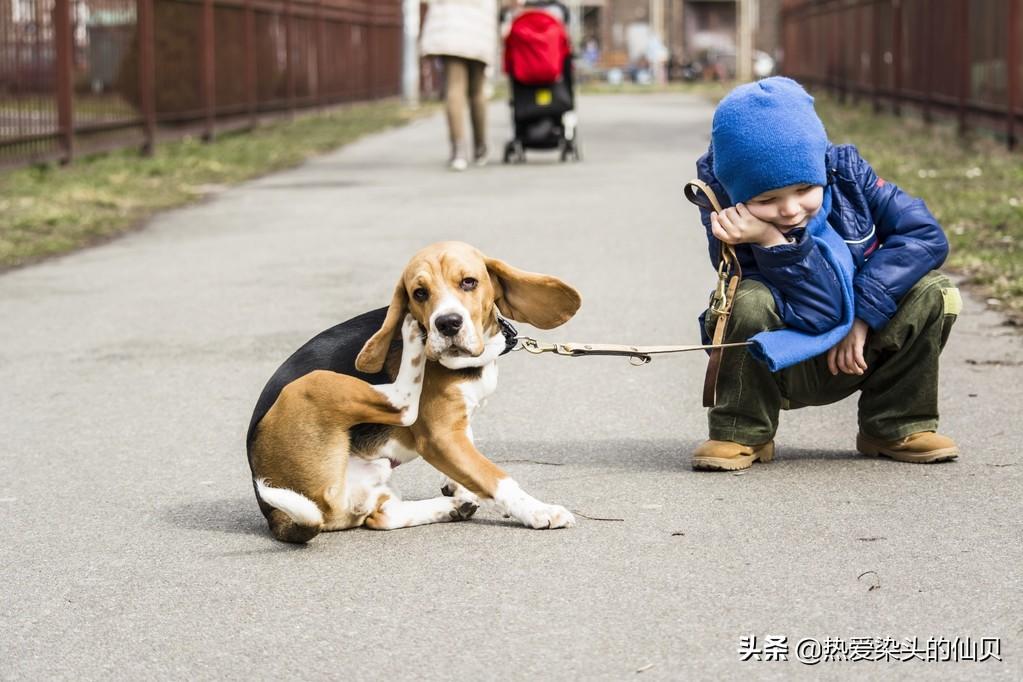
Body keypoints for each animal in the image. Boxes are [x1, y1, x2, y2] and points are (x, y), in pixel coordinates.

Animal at [246, 241, 581, 543]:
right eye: (419, 293)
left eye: (469, 282)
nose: (447, 324)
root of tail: (275, 515)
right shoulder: (440, 437)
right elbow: (496, 477)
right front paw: (538, 511)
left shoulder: (455, 428)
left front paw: (458, 486)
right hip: (311, 384)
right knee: (404, 405)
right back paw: (409, 333)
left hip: (371, 478)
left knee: (381, 516)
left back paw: (450, 507)